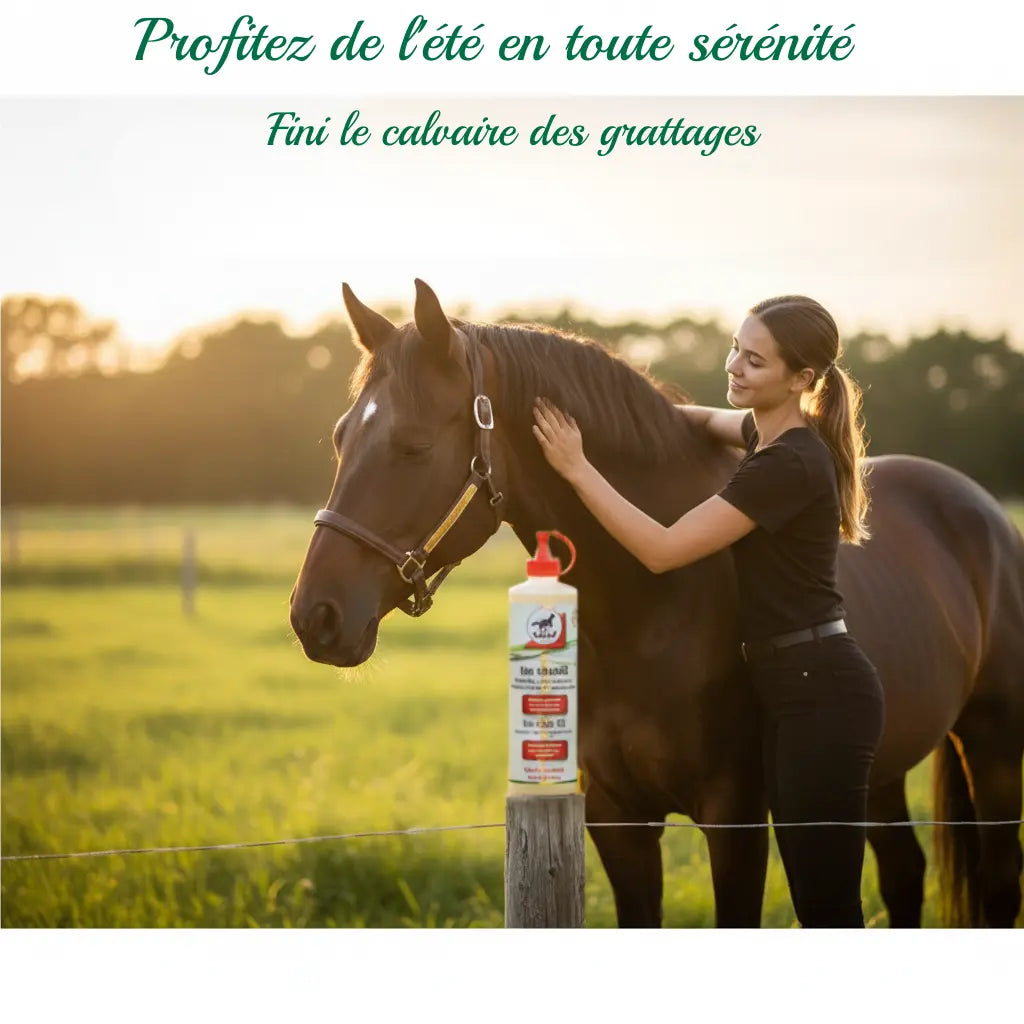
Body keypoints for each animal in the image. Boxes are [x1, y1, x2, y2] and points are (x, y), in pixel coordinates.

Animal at [290, 279, 1024, 927]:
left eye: (413, 445)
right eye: (339, 437)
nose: (313, 617)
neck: (648, 611)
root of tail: (980, 506)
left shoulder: (735, 819)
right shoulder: (617, 817)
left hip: (990, 750)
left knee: (995, 886)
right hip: (875, 773)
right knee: (903, 874)